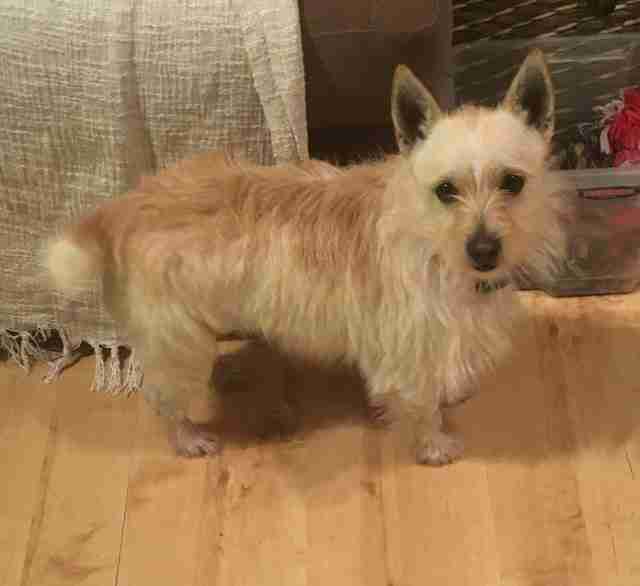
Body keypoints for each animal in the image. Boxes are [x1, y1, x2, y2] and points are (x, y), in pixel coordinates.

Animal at [47, 49, 569, 465]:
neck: (428, 233)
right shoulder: (404, 347)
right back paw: (189, 438)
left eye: (513, 182)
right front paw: (434, 445)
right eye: (445, 190)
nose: (483, 251)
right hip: (180, 343)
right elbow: (419, 403)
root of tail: (123, 205)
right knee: (161, 398)